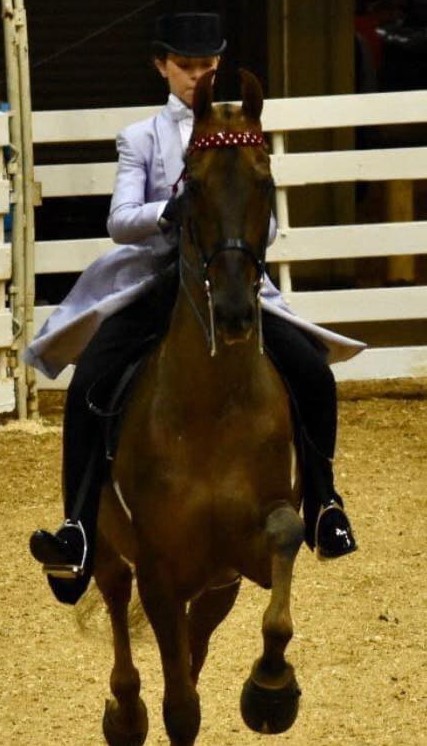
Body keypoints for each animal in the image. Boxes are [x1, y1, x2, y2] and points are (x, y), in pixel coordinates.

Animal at [95, 68, 306, 740]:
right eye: (194, 186)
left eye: (265, 181)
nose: (235, 313)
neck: (213, 410)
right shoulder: (159, 573)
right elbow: (181, 708)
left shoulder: (243, 558)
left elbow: (287, 543)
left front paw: (270, 688)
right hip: (109, 547)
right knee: (115, 597)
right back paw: (124, 712)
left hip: (216, 587)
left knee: (195, 641)